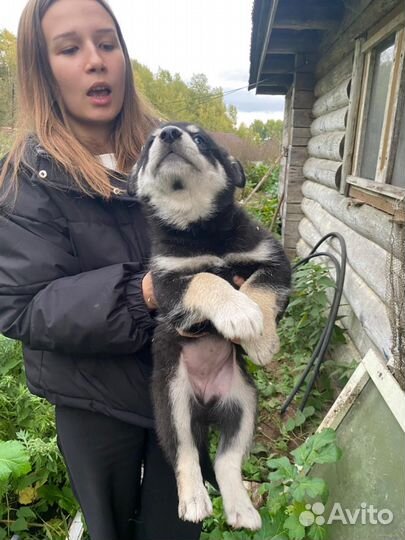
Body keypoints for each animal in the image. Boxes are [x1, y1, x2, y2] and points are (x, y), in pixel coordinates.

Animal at [128, 121, 288, 528]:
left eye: (199, 138)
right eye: (148, 144)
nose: (168, 133)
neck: (199, 229)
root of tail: (205, 406)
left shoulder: (273, 260)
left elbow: (259, 288)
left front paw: (261, 339)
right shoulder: (168, 284)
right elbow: (206, 279)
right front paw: (239, 313)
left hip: (244, 404)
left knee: (225, 461)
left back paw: (242, 510)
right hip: (172, 404)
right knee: (185, 455)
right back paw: (194, 501)